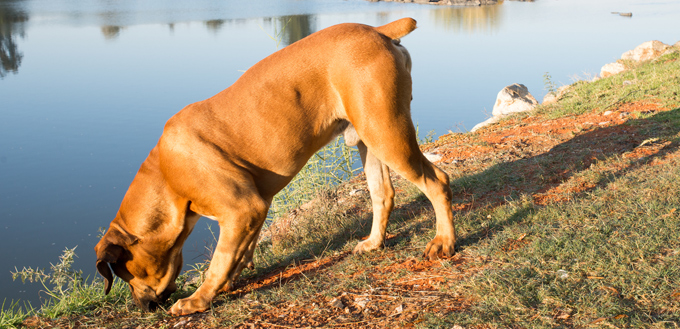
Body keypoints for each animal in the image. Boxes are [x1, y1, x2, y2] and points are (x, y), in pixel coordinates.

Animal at [94, 16, 456, 314]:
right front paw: (226, 283)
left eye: (127, 273)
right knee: (383, 194)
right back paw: (374, 243)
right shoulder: (254, 209)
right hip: (370, 140)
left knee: (437, 181)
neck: (167, 176)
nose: (141, 306)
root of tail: (378, 30)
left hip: (388, 133)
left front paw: (198, 300)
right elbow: (239, 252)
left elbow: (219, 260)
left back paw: (444, 242)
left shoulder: (242, 208)